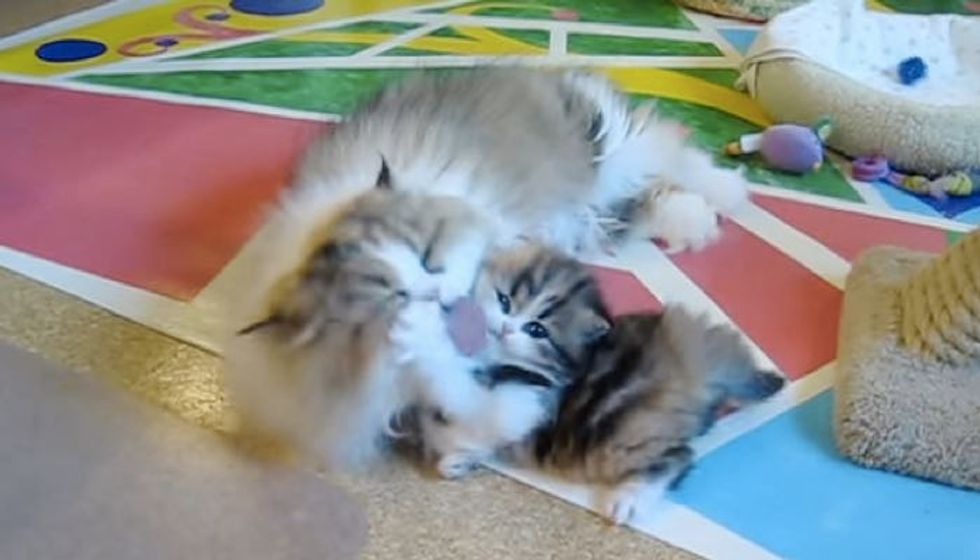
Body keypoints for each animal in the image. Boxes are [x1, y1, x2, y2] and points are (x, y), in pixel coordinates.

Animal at [222, 64, 748, 468]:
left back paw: (724, 196)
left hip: (606, 147)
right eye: (394, 300)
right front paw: (458, 449)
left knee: (669, 153)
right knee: (626, 209)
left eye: (429, 254)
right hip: (590, 211)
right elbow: (467, 407)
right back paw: (694, 222)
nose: (440, 302)